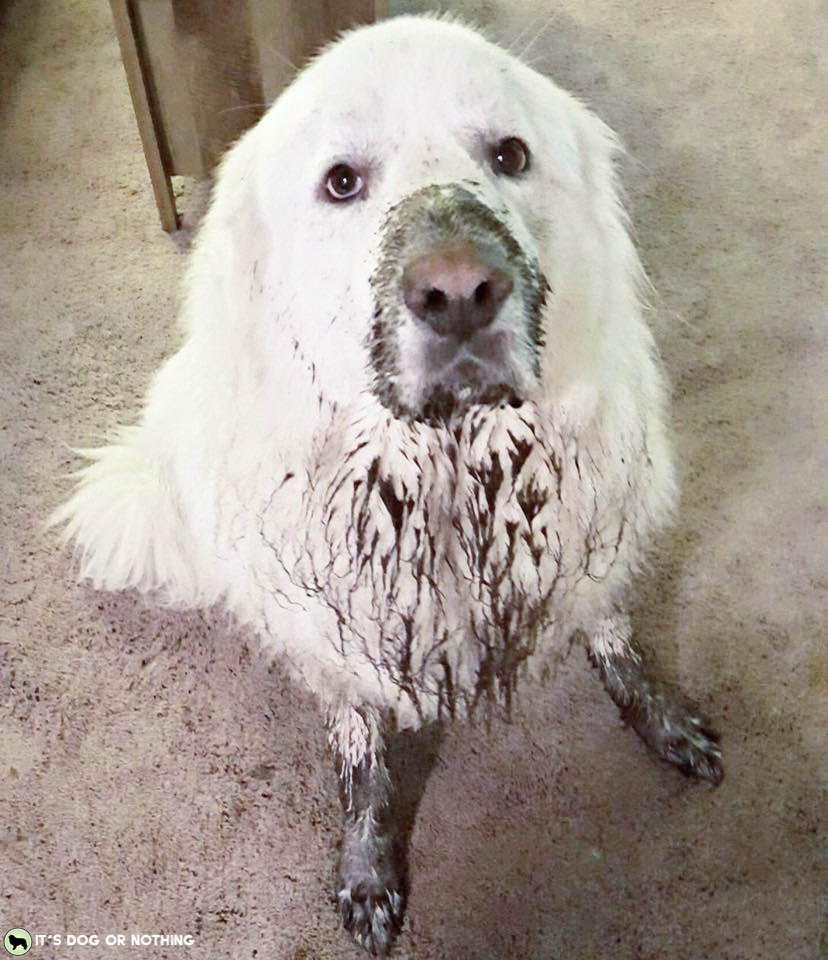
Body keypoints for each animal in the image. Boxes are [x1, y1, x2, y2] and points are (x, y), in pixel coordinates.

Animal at [53, 13, 724, 952]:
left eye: (510, 154)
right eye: (342, 182)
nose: (460, 293)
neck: (448, 471)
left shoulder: (590, 526)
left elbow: (611, 628)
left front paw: (655, 709)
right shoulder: (334, 630)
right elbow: (362, 757)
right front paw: (369, 869)